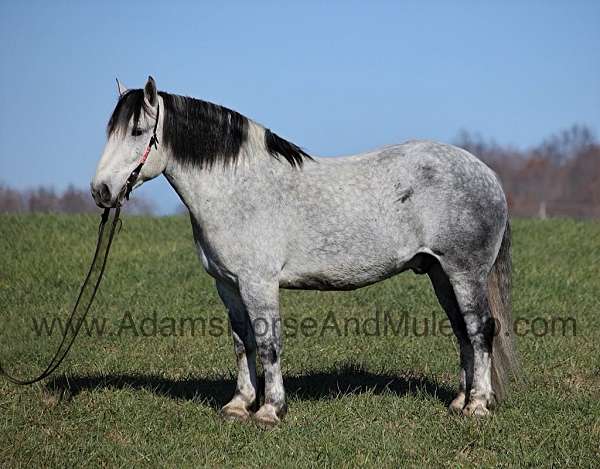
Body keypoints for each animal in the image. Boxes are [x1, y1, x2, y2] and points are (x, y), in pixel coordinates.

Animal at [91, 75, 516, 426]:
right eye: (109, 130)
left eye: (138, 131)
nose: (101, 191)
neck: (239, 188)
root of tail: (487, 173)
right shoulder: (228, 285)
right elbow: (242, 341)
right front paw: (239, 405)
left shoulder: (259, 283)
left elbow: (268, 343)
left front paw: (269, 410)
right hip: (440, 273)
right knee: (462, 332)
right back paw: (459, 401)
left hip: (465, 273)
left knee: (480, 330)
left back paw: (478, 405)